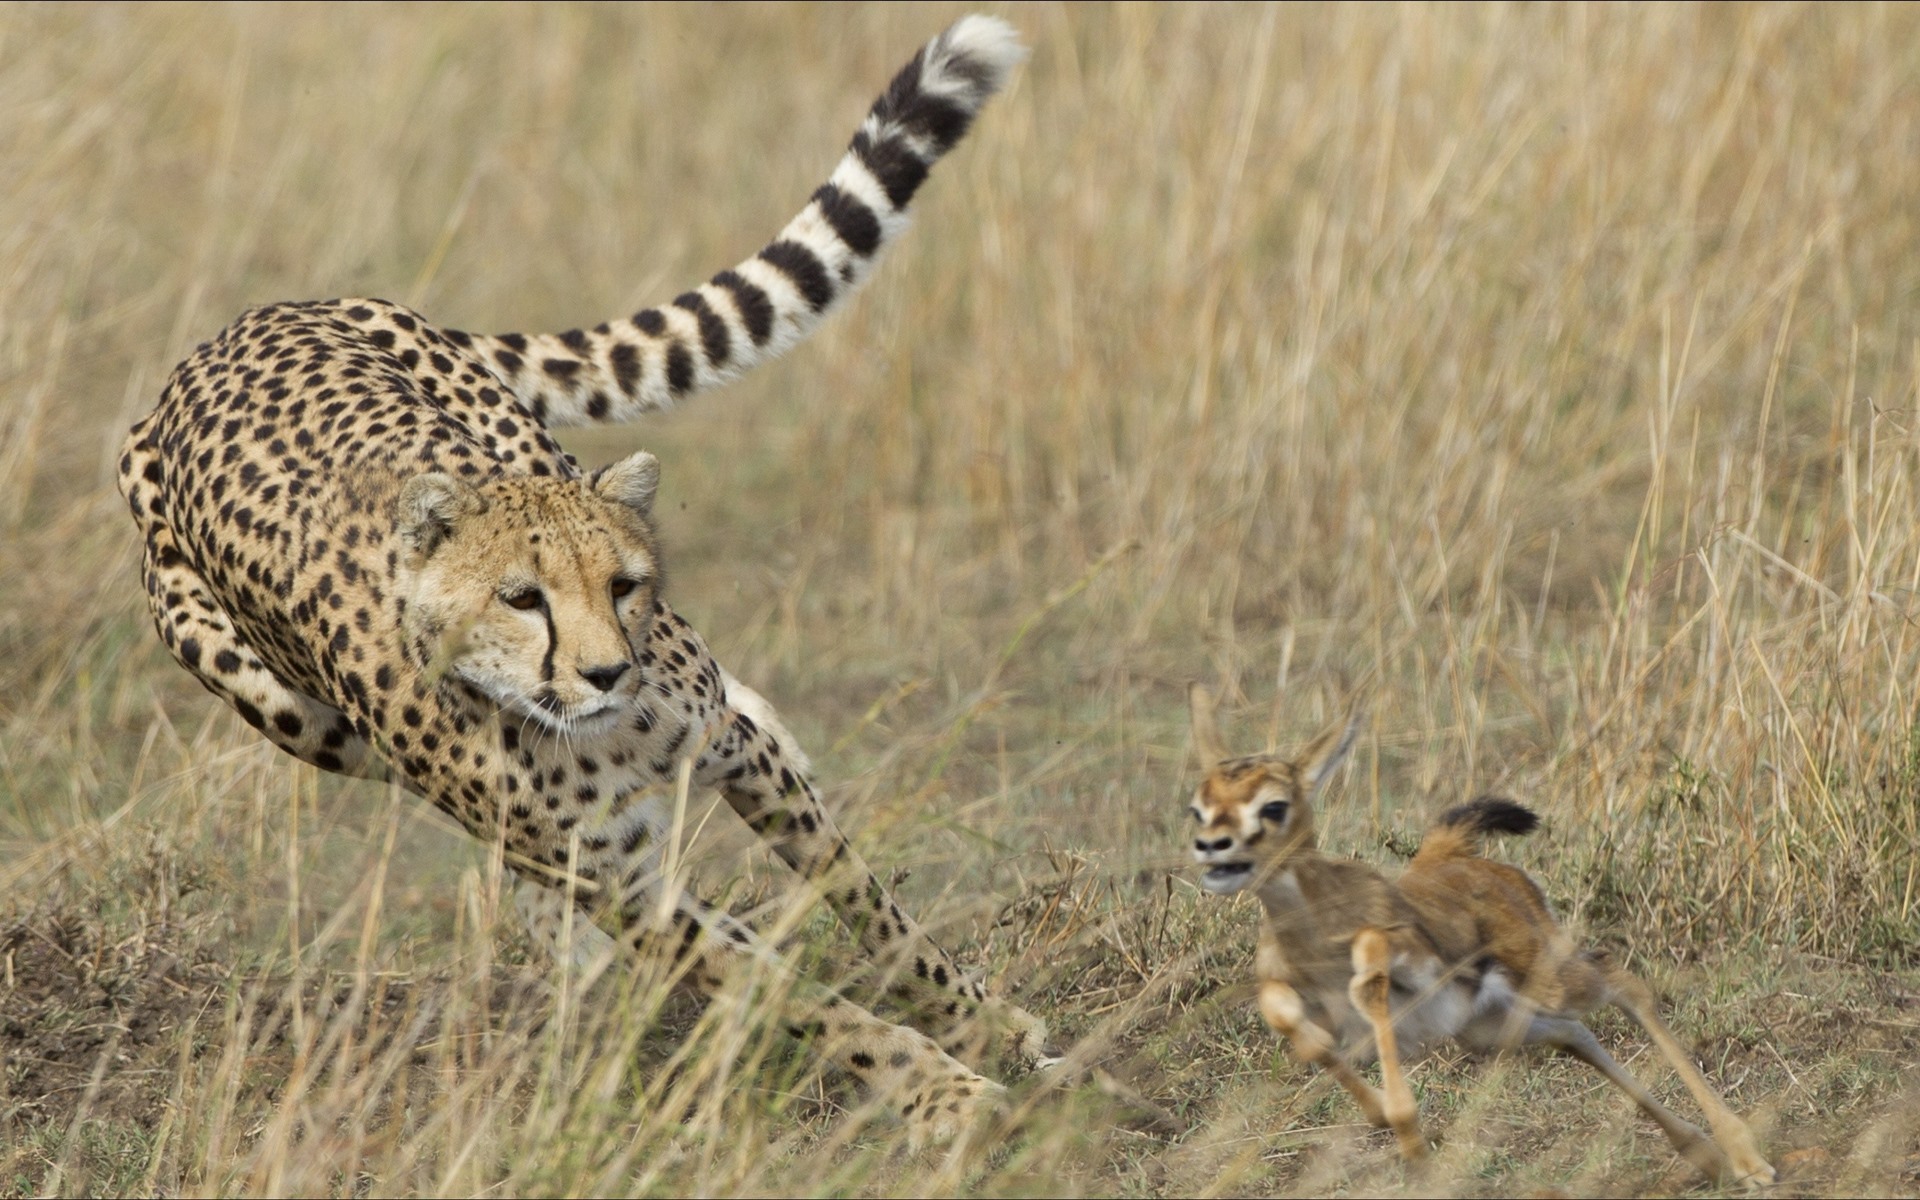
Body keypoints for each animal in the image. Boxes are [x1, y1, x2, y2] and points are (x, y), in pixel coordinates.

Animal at [120, 16, 1052, 1144]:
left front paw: (981, 1026)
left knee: (751, 722)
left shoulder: (728, 754)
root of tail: (227, 337)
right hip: (301, 720)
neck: (592, 733)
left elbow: (869, 901)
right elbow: (795, 996)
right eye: (521, 600)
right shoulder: (624, 887)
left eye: (623, 586)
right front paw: (946, 1091)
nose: (609, 672)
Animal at [1182, 687, 1781, 1182]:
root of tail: (1449, 853)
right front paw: (1394, 1125)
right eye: (1198, 806)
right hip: (1489, 1024)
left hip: (1550, 978)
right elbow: (1291, 1020)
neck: (1315, 933)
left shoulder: (1404, 951)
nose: (1212, 847)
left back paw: (1748, 1160)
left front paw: (1410, 1136)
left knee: (1623, 982)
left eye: (1273, 804)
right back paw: (1707, 1156)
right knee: (1575, 1034)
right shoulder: (1304, 1000)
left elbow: (1369, 973)